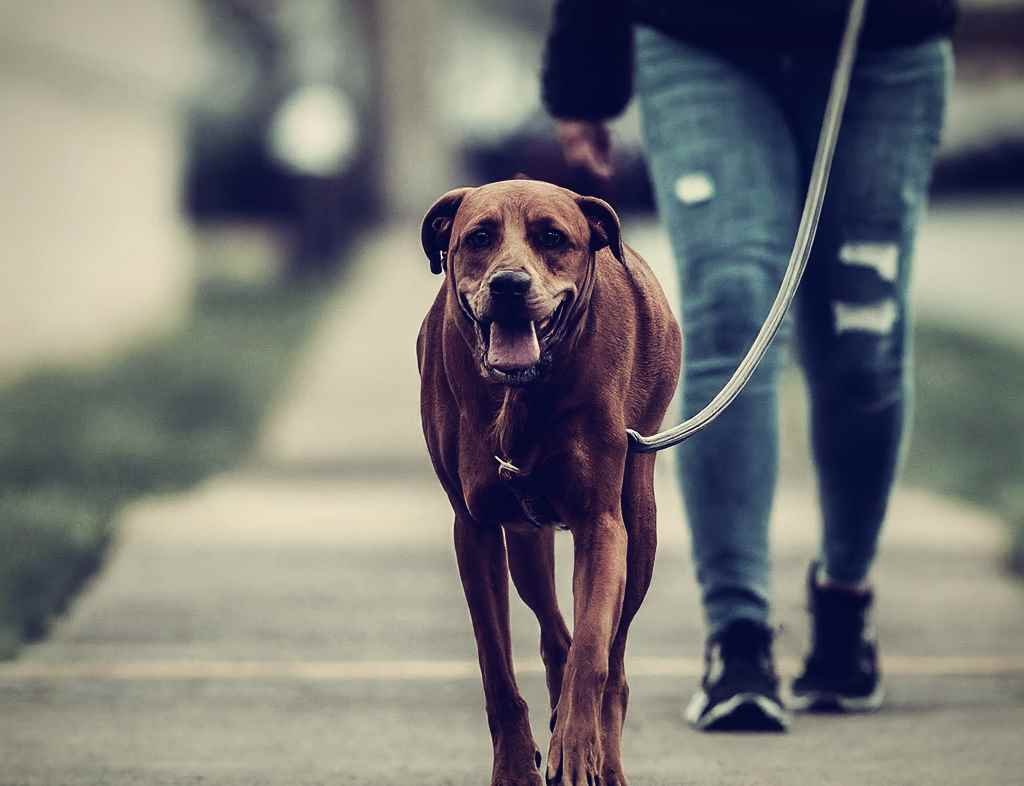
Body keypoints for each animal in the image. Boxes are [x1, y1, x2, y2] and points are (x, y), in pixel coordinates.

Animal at [415, 180, 679, 786]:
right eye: (479, 237)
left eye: (553, 238)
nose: (509, 284)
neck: (521, 392)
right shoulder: (475, 528)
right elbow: (496, 662)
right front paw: (516, 765)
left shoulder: (602, 525)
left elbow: (593, 649)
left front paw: (578, 750)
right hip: (526, 538)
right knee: (553, 631)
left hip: (641, 522)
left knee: (612, 658)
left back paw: (605, 755)